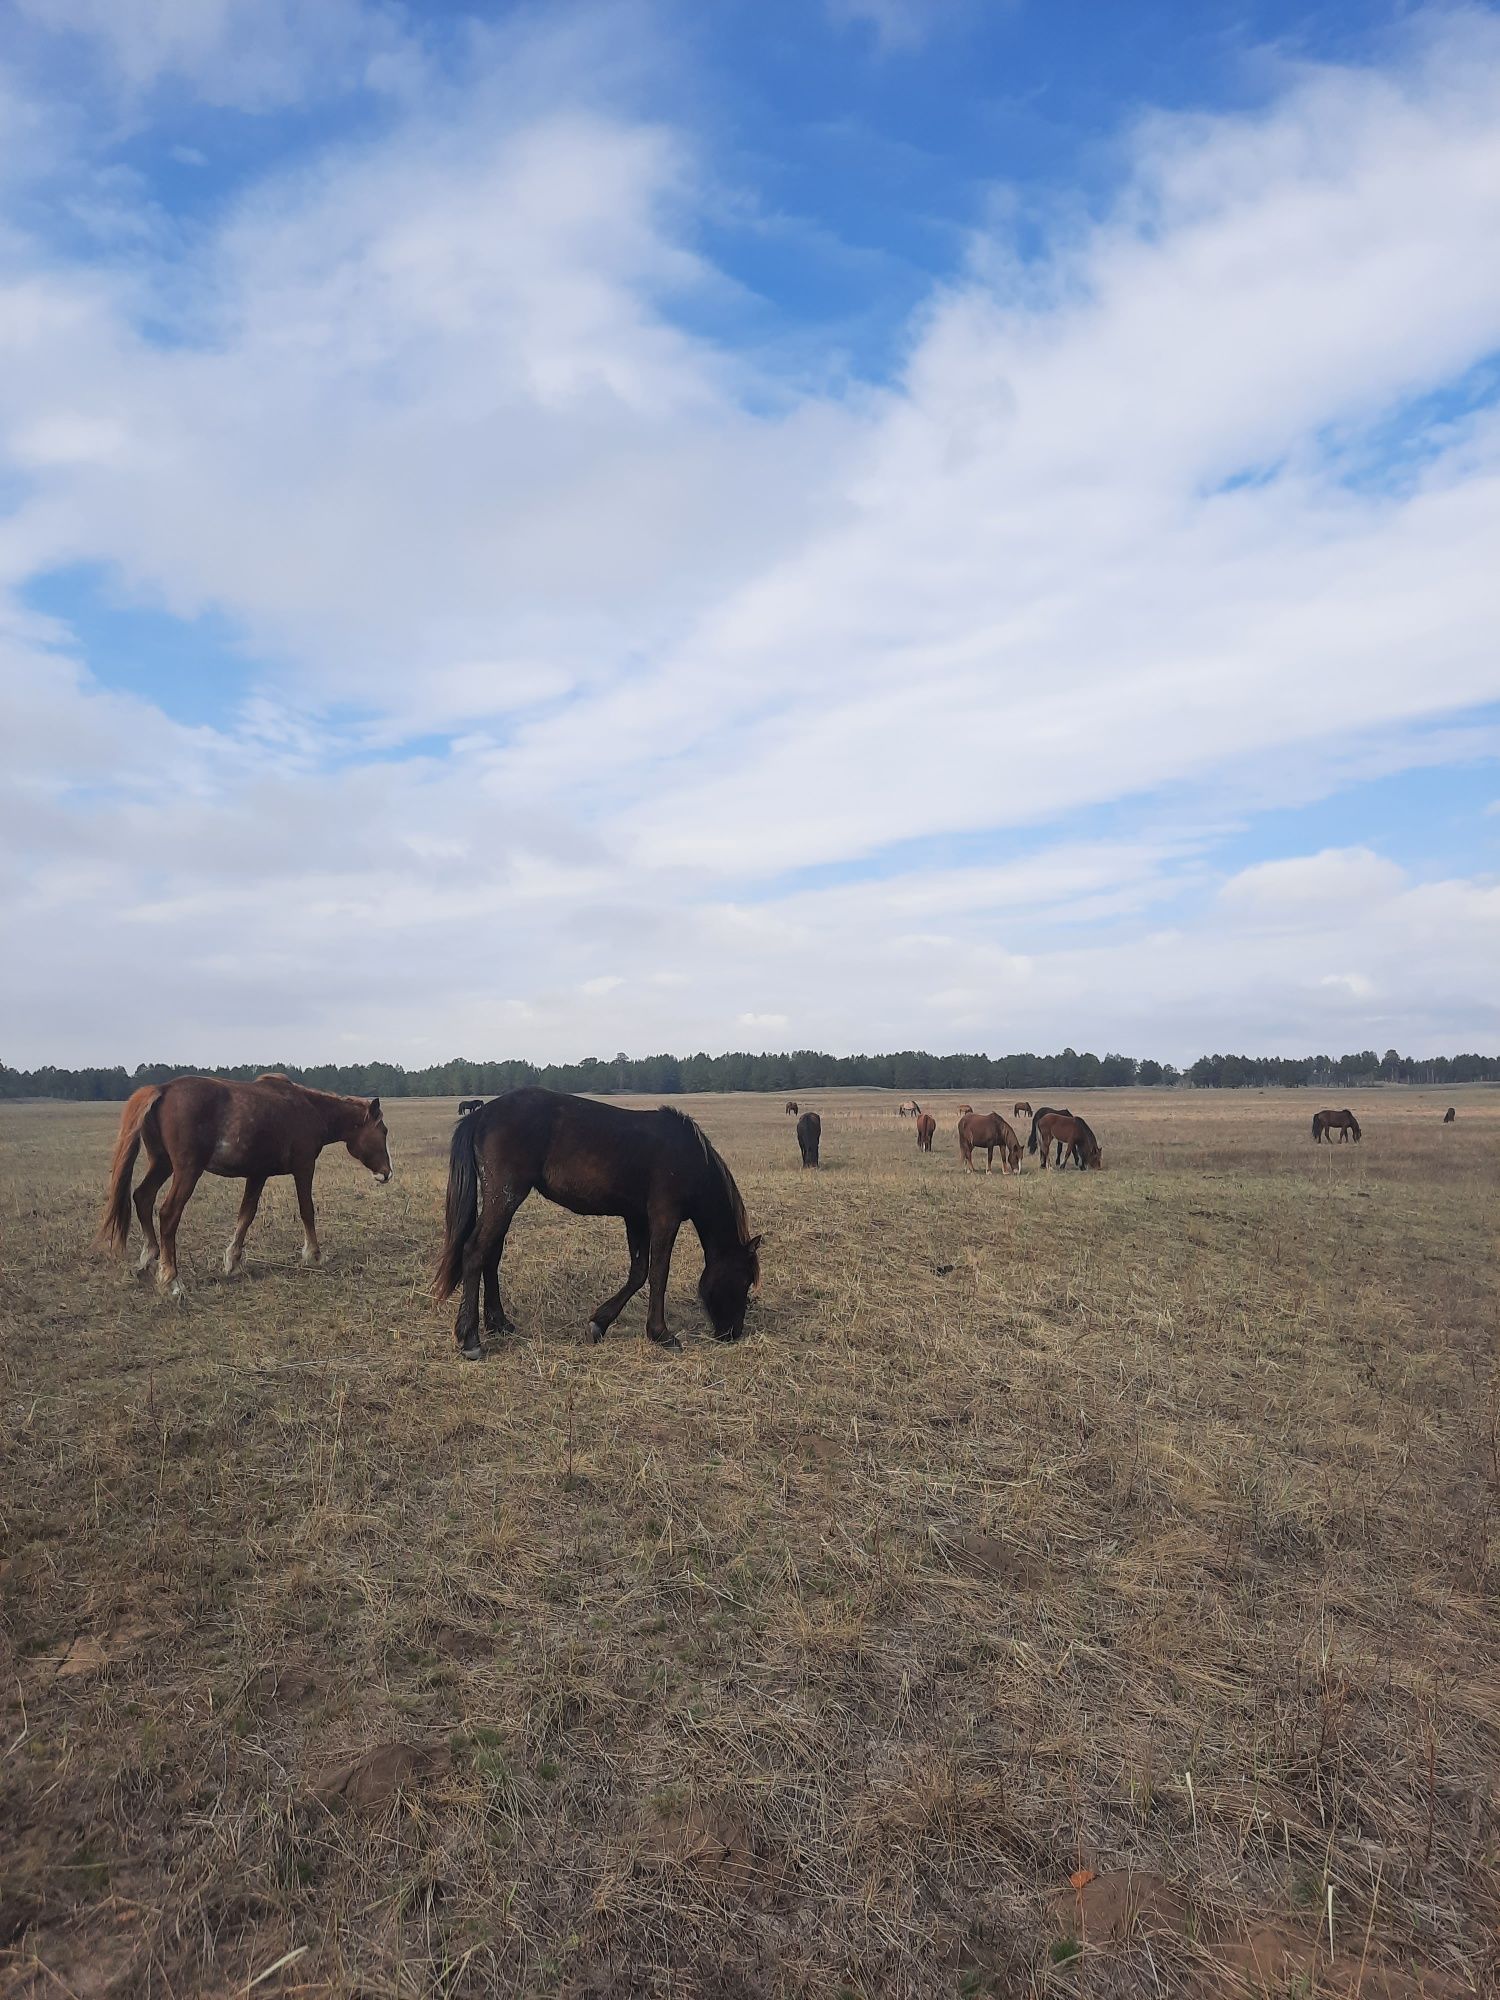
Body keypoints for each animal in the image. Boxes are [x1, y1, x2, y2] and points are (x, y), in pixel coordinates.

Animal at [94, 1080, 394, 1296]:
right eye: (384, 1131)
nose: (387, 1173)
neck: (309, 1108)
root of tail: (163, 1089)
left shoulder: (257, 1174)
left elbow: (246, 1214)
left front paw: (233, 1260)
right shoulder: (304, 1167)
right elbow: (306, 1209)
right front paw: (314, 1254)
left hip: (162, 1163)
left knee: (142, 1197)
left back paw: (148, 1258)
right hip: (187, 1171)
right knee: (168, 1214)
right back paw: (171, 1279)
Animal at [434, 1096, 764, 1360]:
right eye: (744, 1280)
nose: (733, 1333)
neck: (689, 1157)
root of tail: (482, 1113)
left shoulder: (636, 1218)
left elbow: (638, 1273)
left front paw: (599, 1323)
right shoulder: (663, 1217)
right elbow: (658, 1273)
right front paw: (660, 1333)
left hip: (503, 1201)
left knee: (491, 1255)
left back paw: (499, 1323)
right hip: (505, 1196)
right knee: (475, 1252)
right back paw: (470, 1338)